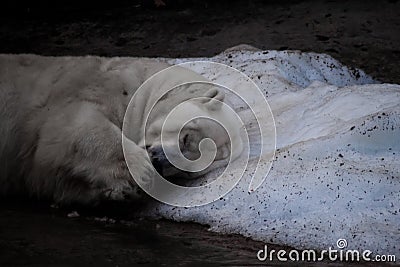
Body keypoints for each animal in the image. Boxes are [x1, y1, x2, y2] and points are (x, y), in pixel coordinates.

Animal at [0, 54, 244, 205]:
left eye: (188, 172)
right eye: (186, 138)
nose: (160, 162)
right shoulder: (92, 86)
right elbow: (74, 124)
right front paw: (140, 172)